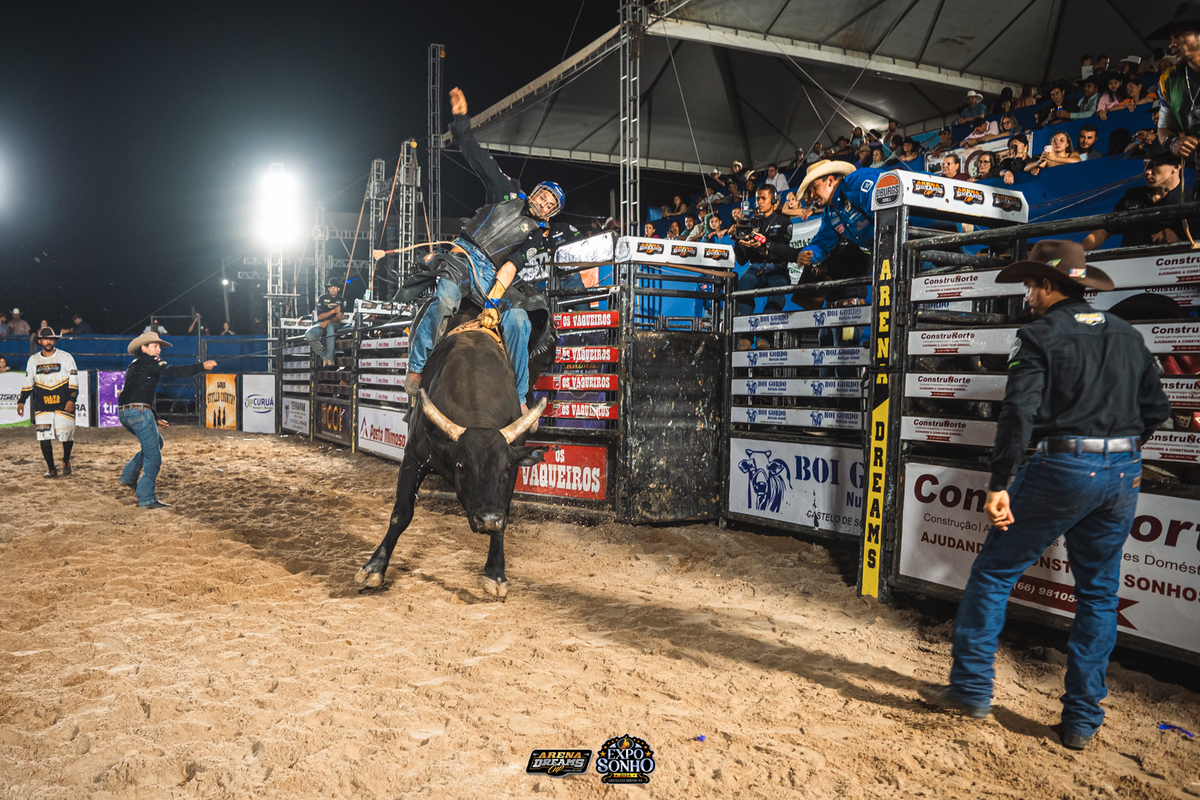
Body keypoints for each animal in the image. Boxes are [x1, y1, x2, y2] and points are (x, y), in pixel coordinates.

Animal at [355, 309, 549, 599]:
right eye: (460, 465)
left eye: (504, 467)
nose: (487, 520)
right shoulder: (413, 456)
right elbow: (401, 513)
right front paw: (374, 567)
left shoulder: (513, 468)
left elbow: (505, 513)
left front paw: (495, 573)